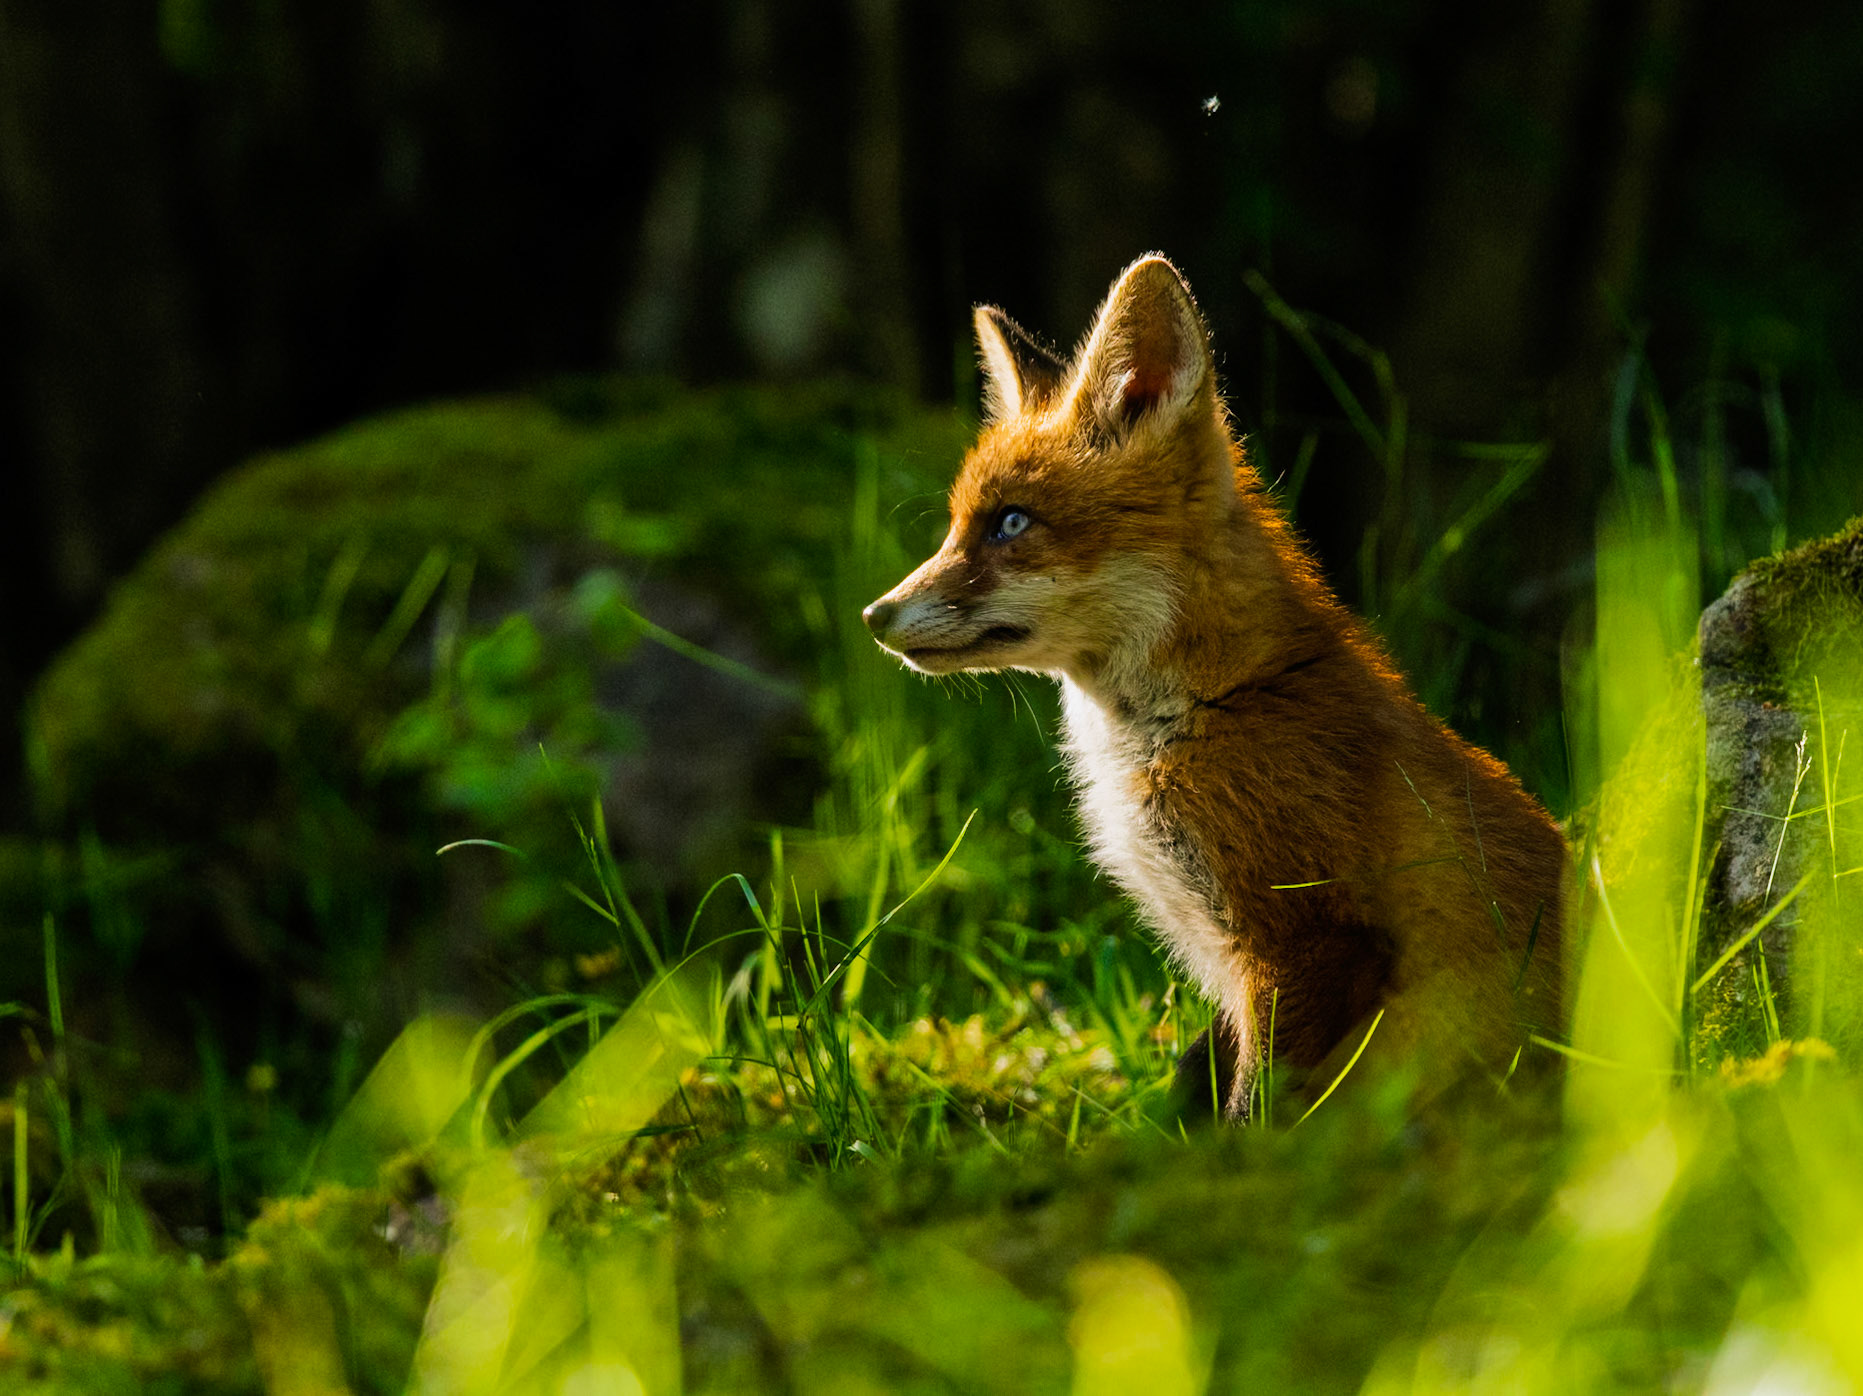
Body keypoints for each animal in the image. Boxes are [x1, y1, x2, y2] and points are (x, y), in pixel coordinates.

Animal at [862, 254, 1564, 1120]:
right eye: (958, 525)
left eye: (1011, 523)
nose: (874, 615)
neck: (1214, 706)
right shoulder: (1226, 964)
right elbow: (1194, 1081)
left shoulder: (1302, 937)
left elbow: (1250, 1114)